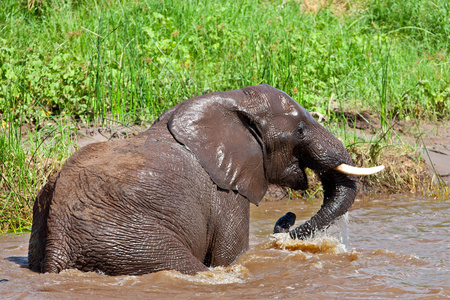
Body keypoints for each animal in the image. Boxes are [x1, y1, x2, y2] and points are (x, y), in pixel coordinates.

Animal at [28, 83, 384, 276]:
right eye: (299, 130)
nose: (289, 218)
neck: (233, 100)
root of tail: (58, 241)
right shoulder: (225, 192)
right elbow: (229, 258)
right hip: (127, 241)